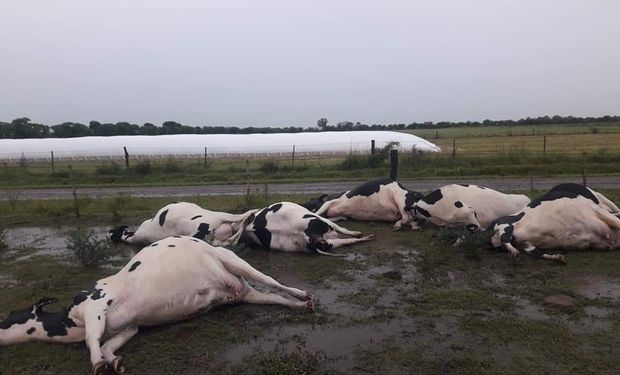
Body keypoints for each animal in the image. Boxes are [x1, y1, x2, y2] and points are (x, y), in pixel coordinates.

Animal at [0, 236, 312, 374]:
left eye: (9, 315)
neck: (68, 322)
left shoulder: (95, 305)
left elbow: (92, 339)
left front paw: (99, 363)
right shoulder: (129, 328)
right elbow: (107, 344)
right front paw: (113, 360)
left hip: (233, 262)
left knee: (272, 281)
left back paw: (303, 294)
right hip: (246, 293)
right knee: (273, 297)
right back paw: (299, 306)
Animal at [245, 203, 376, 256]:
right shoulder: (322, 219)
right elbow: (341, 227)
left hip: (327, 244)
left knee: (347, 241)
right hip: (322, 224)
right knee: (346, 235)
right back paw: (365, 236)